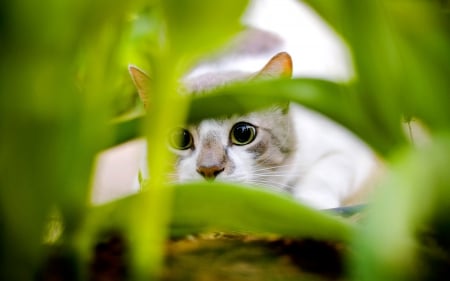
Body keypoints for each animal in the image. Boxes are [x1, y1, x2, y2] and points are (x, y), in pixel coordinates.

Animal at [128, 52, 374, 208]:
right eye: (180, 139)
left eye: (243, 133)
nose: (209, 169)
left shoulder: (346, 147)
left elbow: (325, 174)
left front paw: (312, 205)